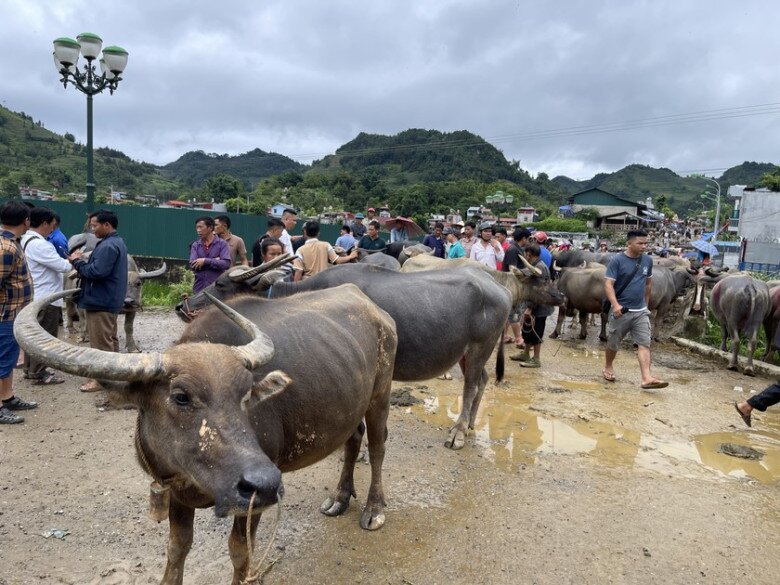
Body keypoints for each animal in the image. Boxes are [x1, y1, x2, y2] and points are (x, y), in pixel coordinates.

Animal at [16, 286, 400, 584]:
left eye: (246, 394)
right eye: (181, 396)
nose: (265, 484)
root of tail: (375, 309)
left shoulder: (252, 505)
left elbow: (240, 552)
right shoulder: (175, 494)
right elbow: (177, 548)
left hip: (380, 395)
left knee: (378, 446)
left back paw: (373, 509)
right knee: (353, 439)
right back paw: (339, 498)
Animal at [177, 258, 524, 448]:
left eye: (222, 284)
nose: (183, 306)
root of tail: (502, 289)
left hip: (480, 346)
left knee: (471, 385)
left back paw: (458, 433)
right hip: (468, 352)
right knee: (481, 381)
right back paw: (469, 425)